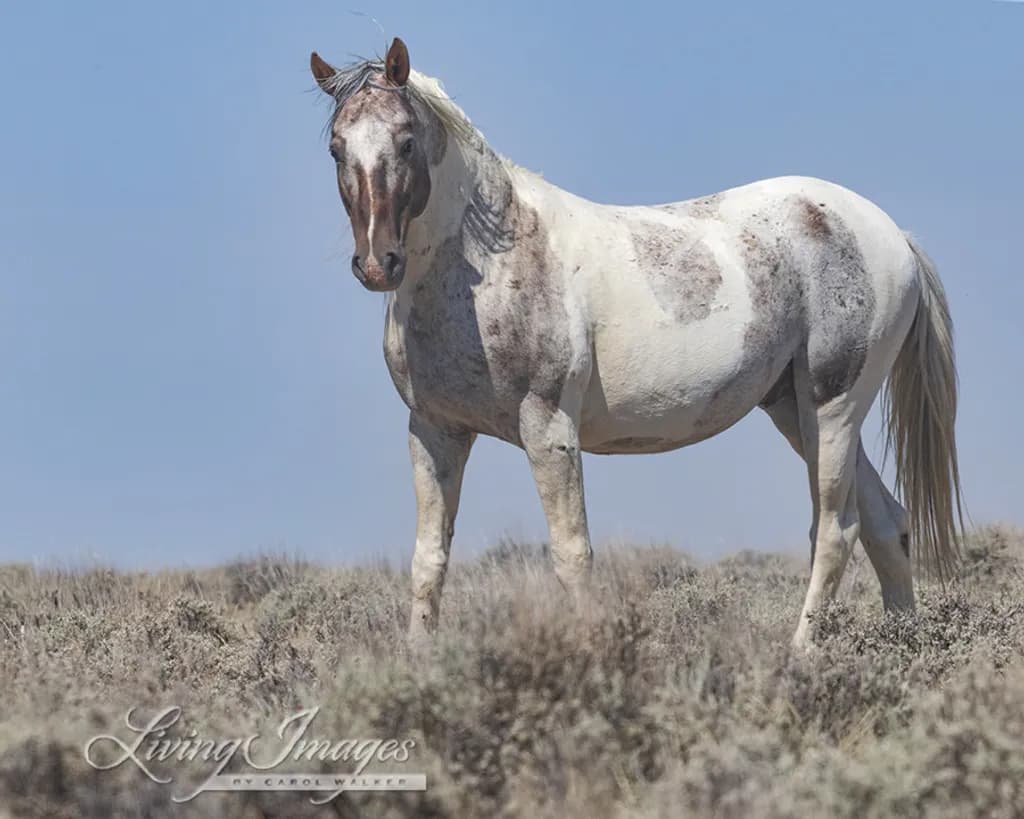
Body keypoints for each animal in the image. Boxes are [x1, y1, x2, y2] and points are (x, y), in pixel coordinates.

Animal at [308, 37, 964, 647]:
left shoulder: (548, 430)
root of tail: (893, 235)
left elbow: (571, 555)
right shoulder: (435, 431)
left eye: (406, 142)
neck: (491, 261)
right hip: (795, 409)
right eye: (337, 148)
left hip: (835, 407)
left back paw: (800, 651)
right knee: (886, 523)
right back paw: (902, 645)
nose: (378, 264)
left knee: (835, 528)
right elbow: (429, 559)